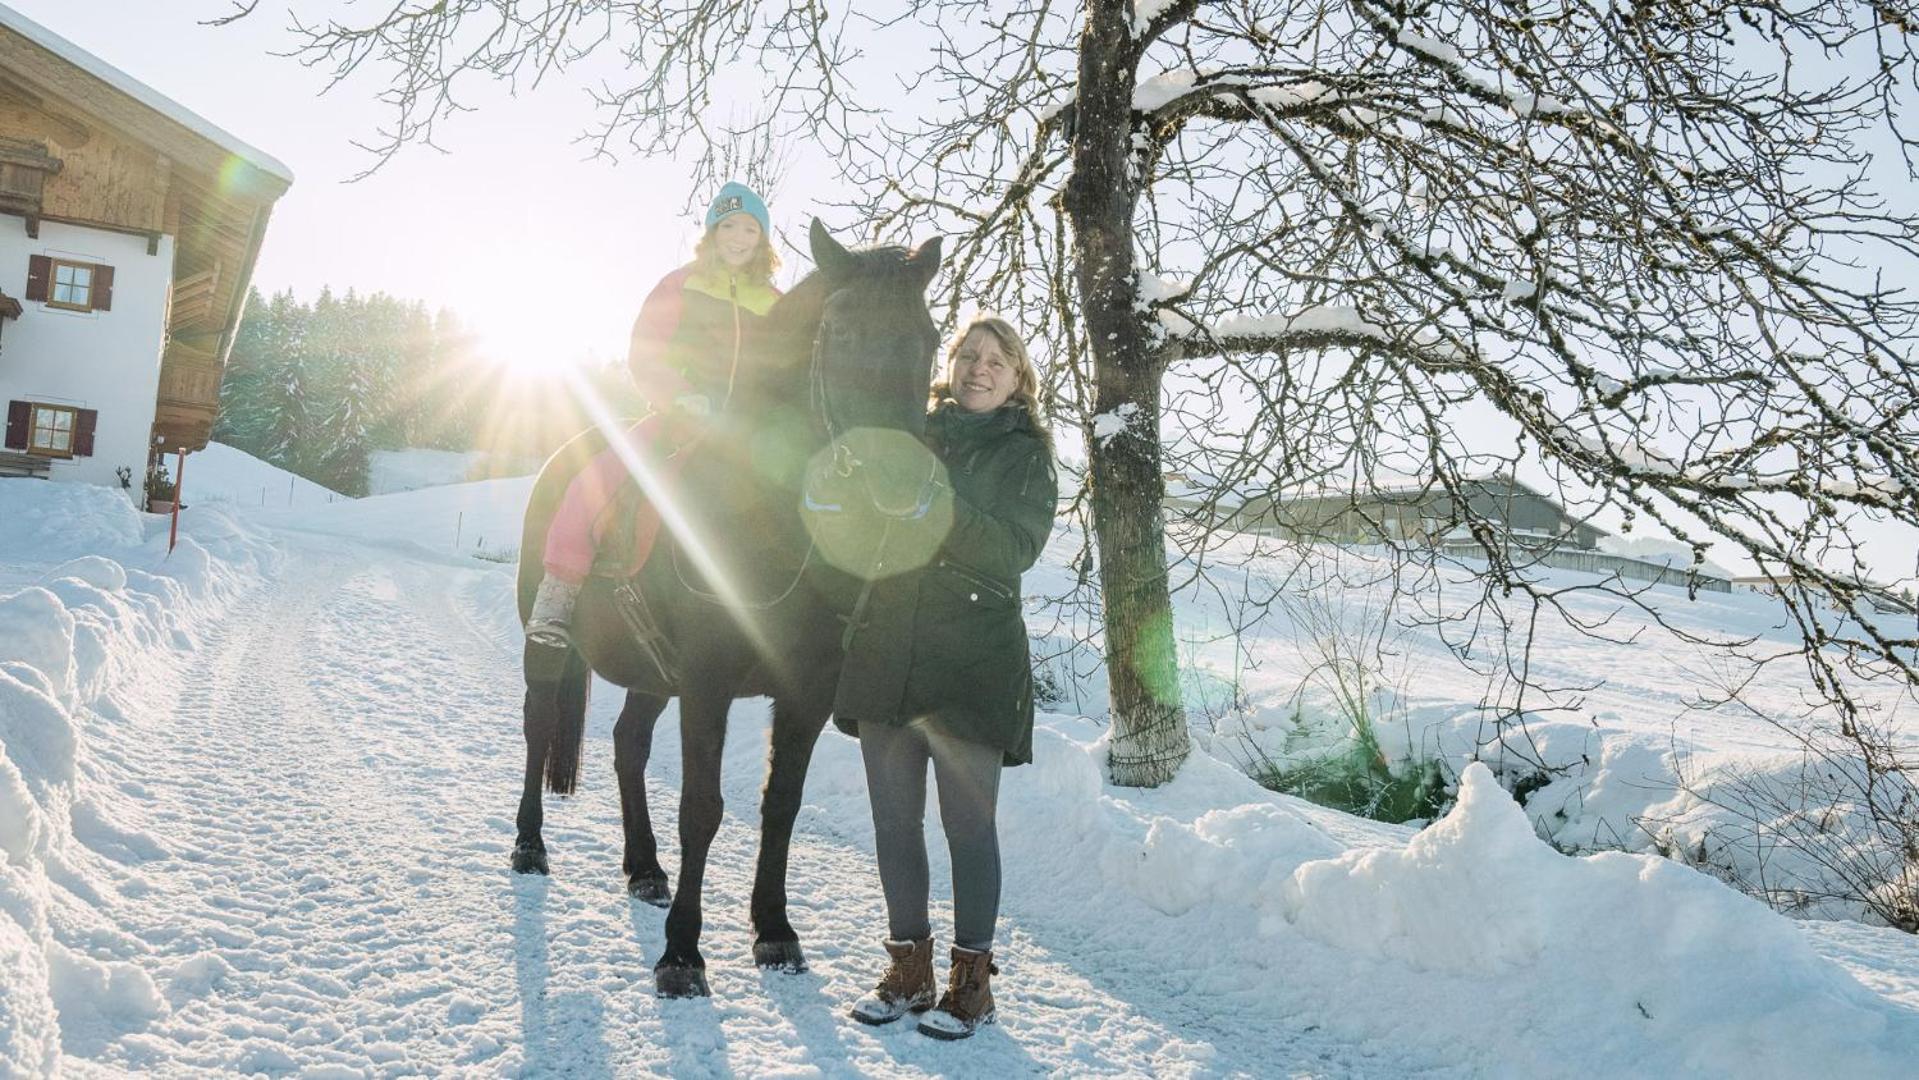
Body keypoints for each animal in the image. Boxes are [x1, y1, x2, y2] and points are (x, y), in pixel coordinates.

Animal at [514, 219, 940, 997]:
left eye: (926, 336)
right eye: (840, 331)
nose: (899, 483)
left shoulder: (803, 692)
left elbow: (780, 807)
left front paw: (774, 929)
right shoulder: (708, 684)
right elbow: (702, 809)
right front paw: (682, 952)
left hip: (652, 674)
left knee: (627, 743)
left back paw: (644, 867)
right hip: (549, 642)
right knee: (536, 727)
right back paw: (530, 843)